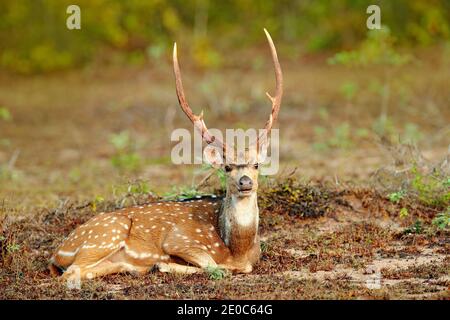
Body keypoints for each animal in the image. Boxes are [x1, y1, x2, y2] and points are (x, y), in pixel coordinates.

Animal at [49, 29, 282, 280]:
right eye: (227, 167)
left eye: (257, 165)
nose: (245, 182)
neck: (238, 249)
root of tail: (57, 253)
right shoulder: (180, 239)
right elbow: (215, 265)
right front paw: (165, 264)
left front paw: (162, 265)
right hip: (105, 235)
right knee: (71, 272)